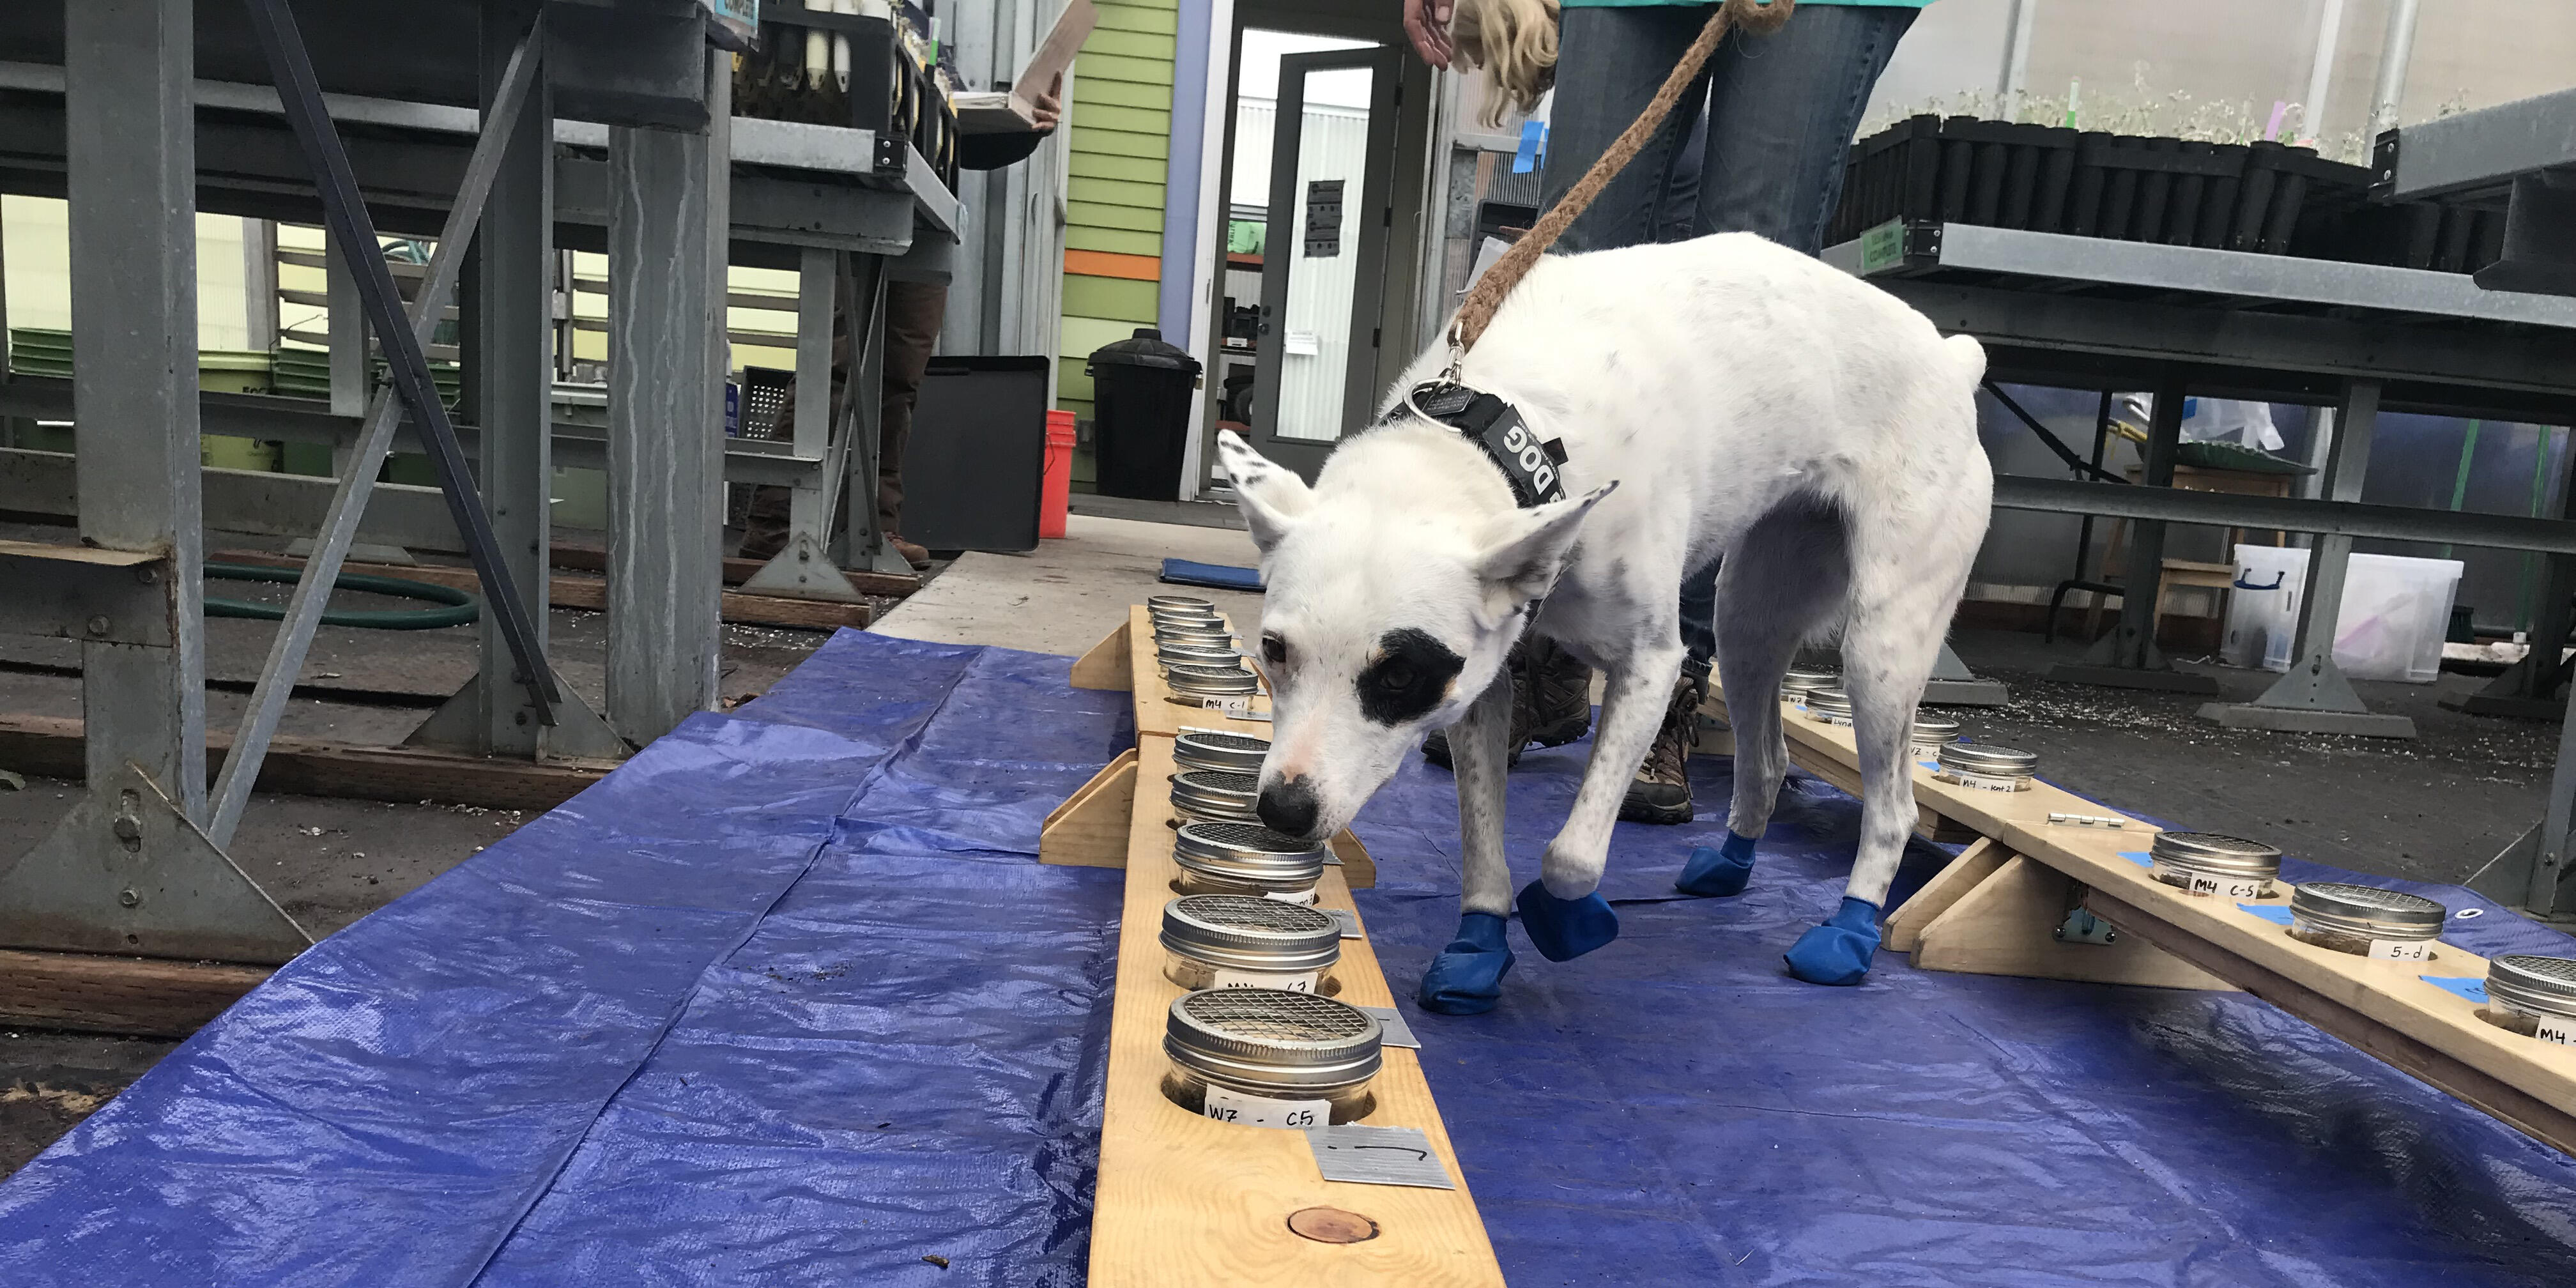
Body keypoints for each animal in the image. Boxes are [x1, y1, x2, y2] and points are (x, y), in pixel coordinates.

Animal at [1211, 234, 1988, 1015]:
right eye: (1273, 650)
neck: (1510, 431)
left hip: (1882, 645)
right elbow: (1481, 844)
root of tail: (1953, 358)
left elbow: (1572, 857)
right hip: (1750, 620)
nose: (1281, 811)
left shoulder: (1649, 664)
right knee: (1767, 759)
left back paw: (1850, 934)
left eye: (1401, 675)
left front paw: (1569, 920)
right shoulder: (1482, 688)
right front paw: (1478, 946)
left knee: (1893, 810)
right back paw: (1730, 864)